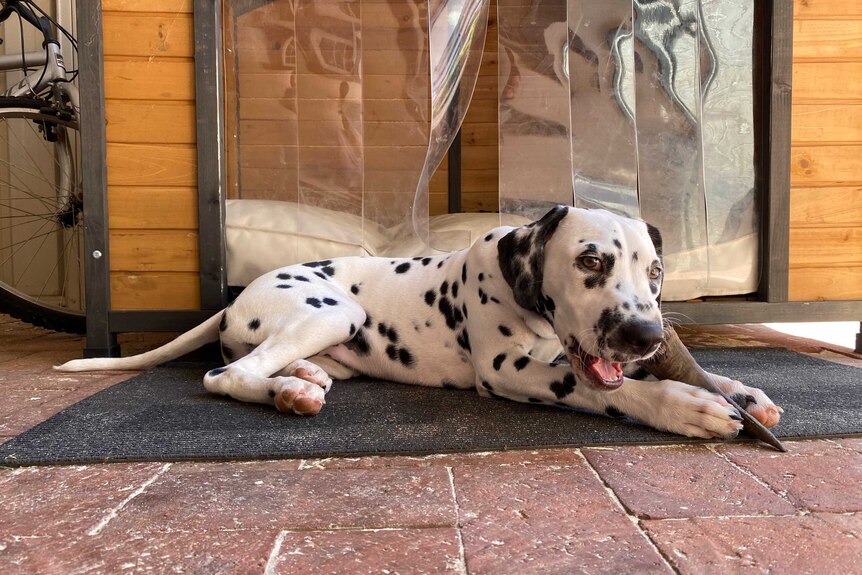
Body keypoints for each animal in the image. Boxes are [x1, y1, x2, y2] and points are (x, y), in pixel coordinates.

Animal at [54, 207, 784, 440]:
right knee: (225, 375)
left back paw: (303, 378)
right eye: (591, 260)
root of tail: (235, 300)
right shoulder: (509, 371)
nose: (645, 337)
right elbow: (604, 388)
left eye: (655, 270)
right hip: (334, 309)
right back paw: (289, 392)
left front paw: (740, 391)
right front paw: (684, 405)